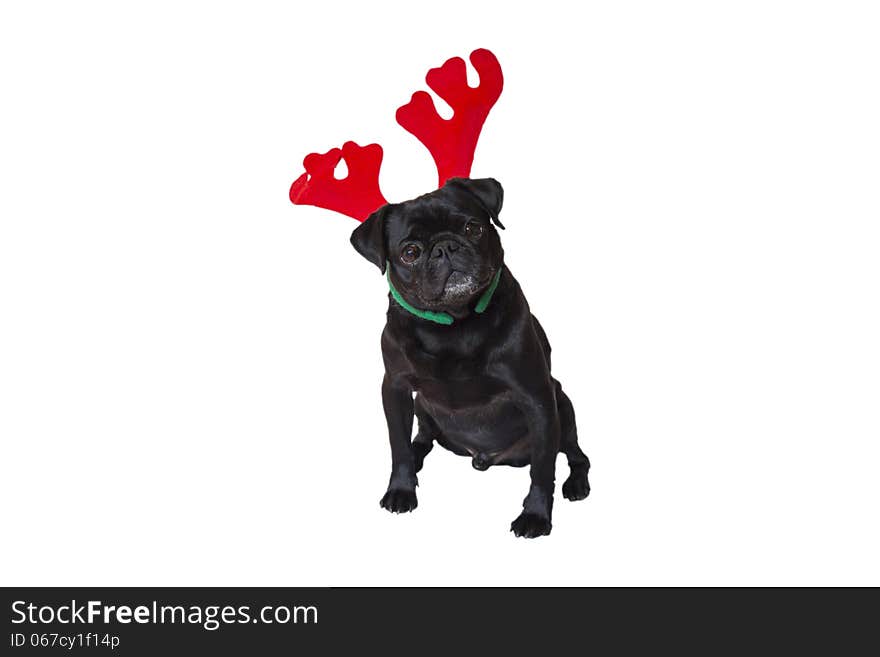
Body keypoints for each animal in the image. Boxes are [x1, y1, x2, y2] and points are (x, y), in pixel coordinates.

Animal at [350, 177, 592, 536]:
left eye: (473, 228)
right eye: (410, 252)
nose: (445, 248)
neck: (453, 325)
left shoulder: (536, 396)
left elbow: (542, 468)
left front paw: (536, 515)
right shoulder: (395, 389)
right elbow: (398, 446)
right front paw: (401, 489)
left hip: (561, 404)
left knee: (576, 456)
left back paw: (576, 484)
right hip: (421, 405)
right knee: (422, 435)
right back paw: (418, 455)